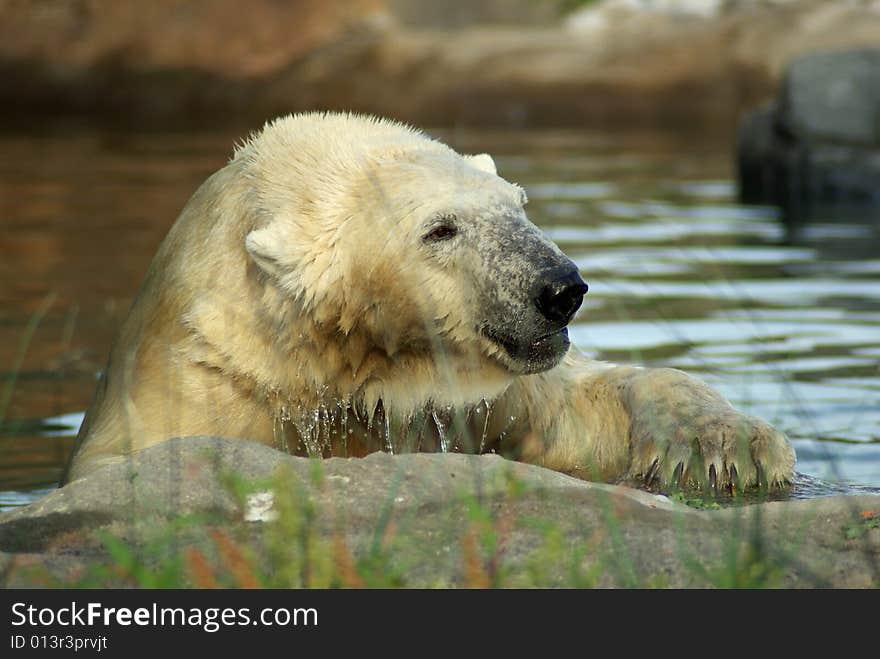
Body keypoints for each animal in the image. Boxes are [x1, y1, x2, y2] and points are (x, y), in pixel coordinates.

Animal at [63, 111, 796, 492]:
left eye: (517, 205)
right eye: (440, 229)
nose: (560, 289)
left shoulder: (476, 397)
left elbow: (581, 412)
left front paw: (731, 446)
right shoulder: (201, 390)